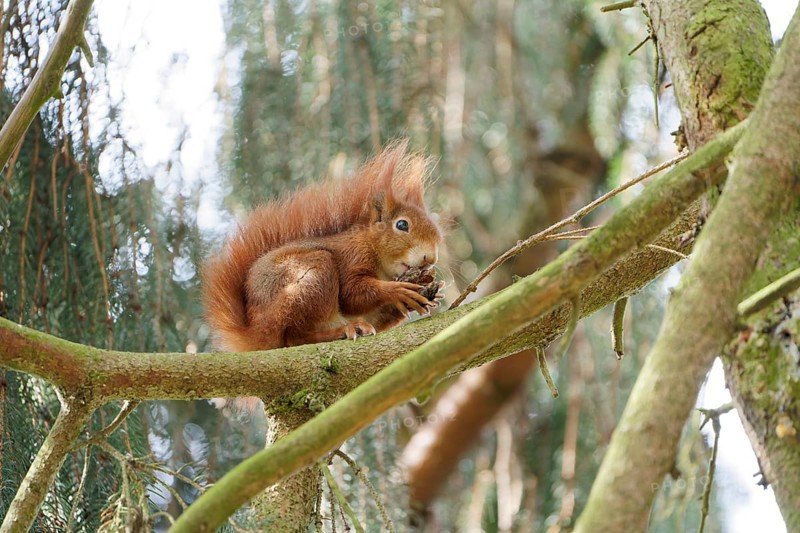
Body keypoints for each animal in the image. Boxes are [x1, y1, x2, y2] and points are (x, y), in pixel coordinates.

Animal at [202, 141, 443, 356]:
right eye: (402, 225)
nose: (430, 259)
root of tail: (255, 332)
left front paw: (425, 290)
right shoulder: (353, 255)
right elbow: (352, 294)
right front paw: (396, 290)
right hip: (311, 276)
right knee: (296, 337)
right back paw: (343, 330)